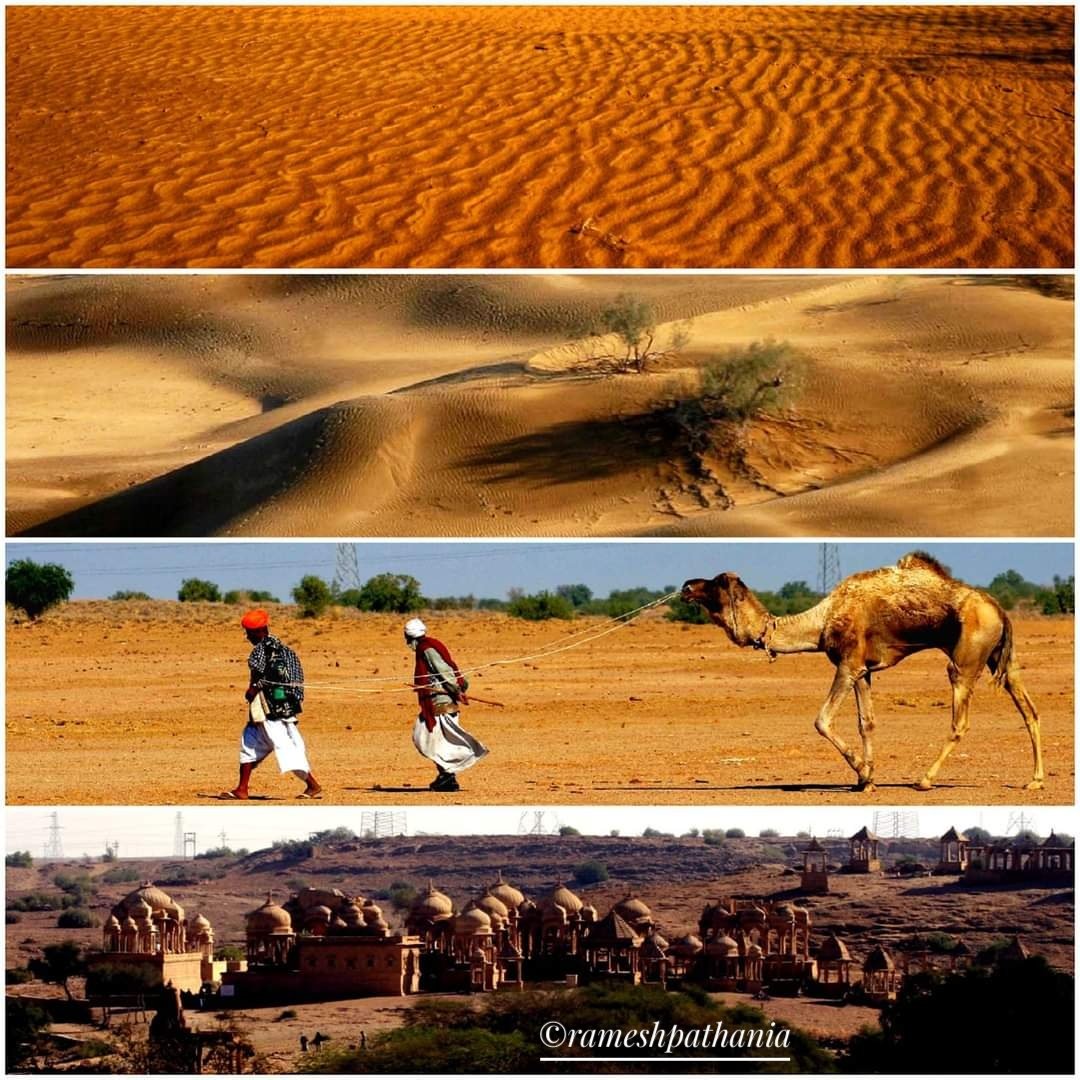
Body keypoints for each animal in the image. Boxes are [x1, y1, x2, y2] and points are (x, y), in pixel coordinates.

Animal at [682, 552, 1045, 790]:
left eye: (715, 583)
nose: (686, 585)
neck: (823, 621)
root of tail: (1000, 610)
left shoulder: (847, 665)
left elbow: (822, 720)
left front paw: (863, 772)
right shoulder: (863, 671)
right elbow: (866, 722)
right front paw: (866, 779)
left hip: (966, 659)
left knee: (960, 721)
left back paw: (925, 780)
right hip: (1001, 658)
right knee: (1029, 710)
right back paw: (1035, 780)